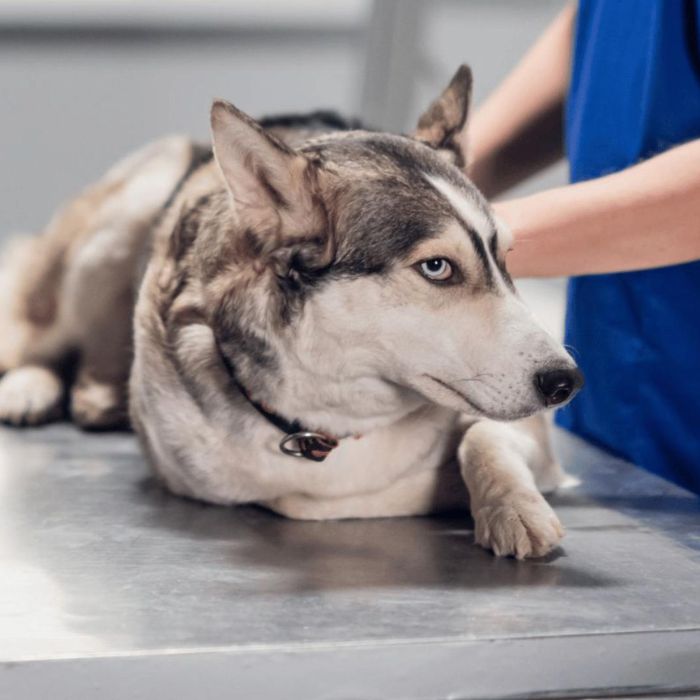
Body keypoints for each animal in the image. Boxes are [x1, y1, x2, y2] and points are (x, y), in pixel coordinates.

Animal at [0, 65, 580, 556]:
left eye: (506, 257)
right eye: (437, 267)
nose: (566, 382)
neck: (336, 415)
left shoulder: (531, 436)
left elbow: (482, 436)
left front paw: (512, 509)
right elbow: (302, 501)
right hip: (118, 223)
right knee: (37, 333)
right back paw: (36, 387)